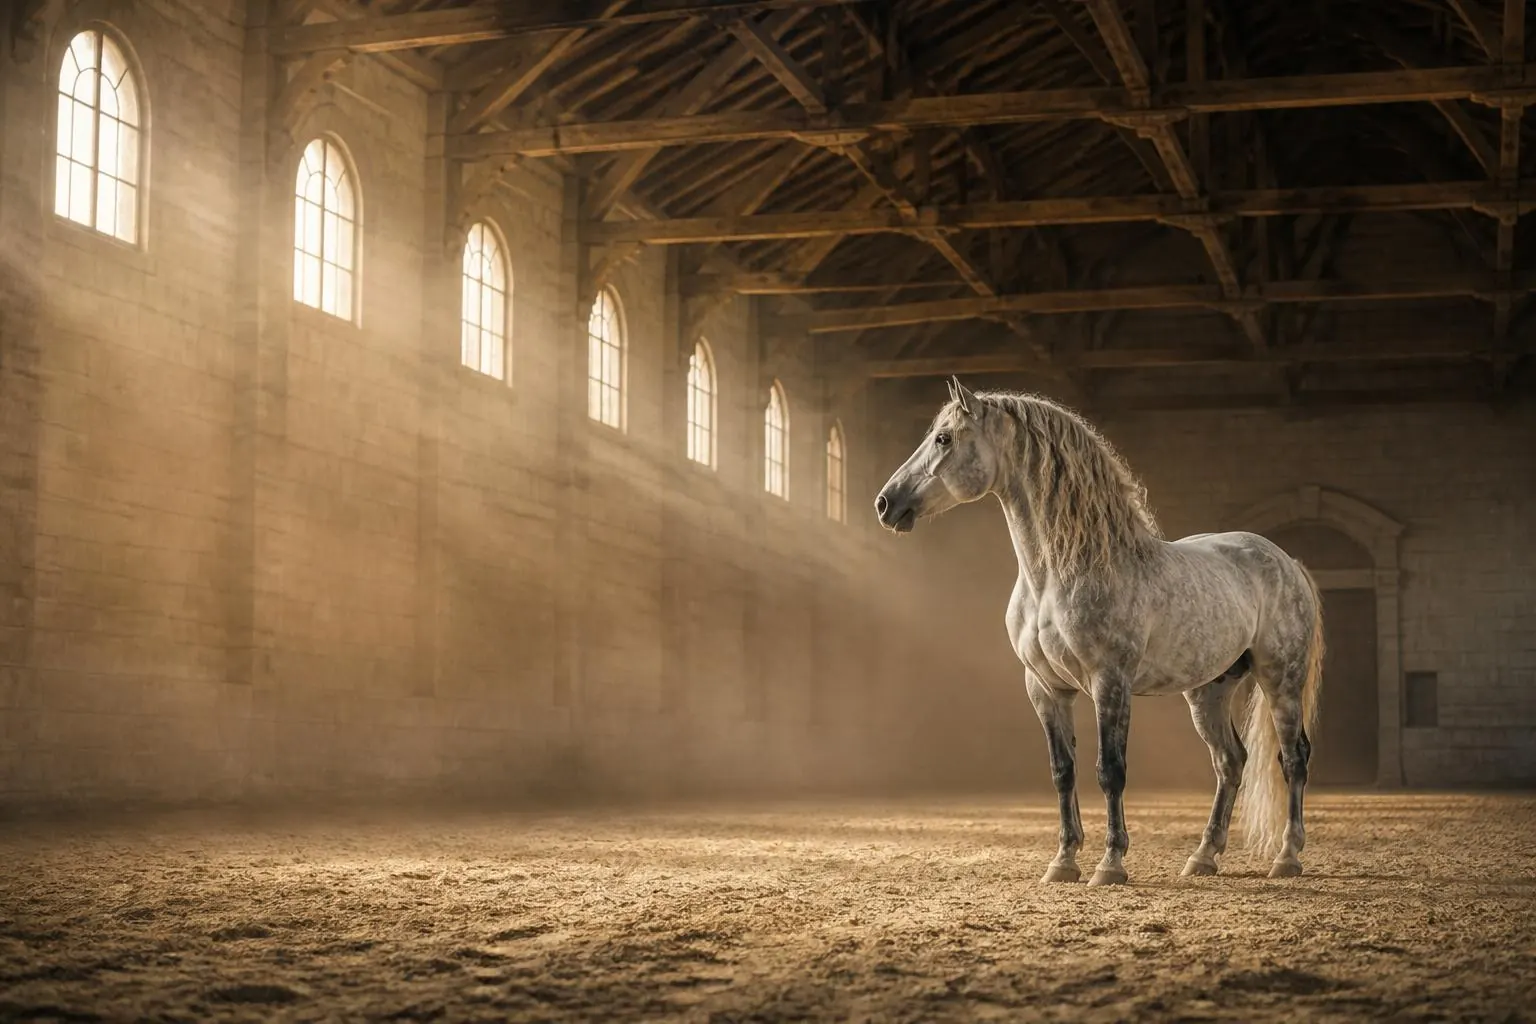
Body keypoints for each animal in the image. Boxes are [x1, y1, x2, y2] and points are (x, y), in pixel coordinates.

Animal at [874, 378, 1324, 885]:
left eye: (944, 439)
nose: (886, 504)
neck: (1058, 575)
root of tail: (1287, 562)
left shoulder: (1110, 682)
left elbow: (1110, 770)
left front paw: (1111, 864)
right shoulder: (1045, 688)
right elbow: (1062, 771)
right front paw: (1064, 861)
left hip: (1280, 679)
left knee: (1293, 758)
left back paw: (1287, 857)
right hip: (1209, 690)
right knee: (1230, 762)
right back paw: (1203, 857)